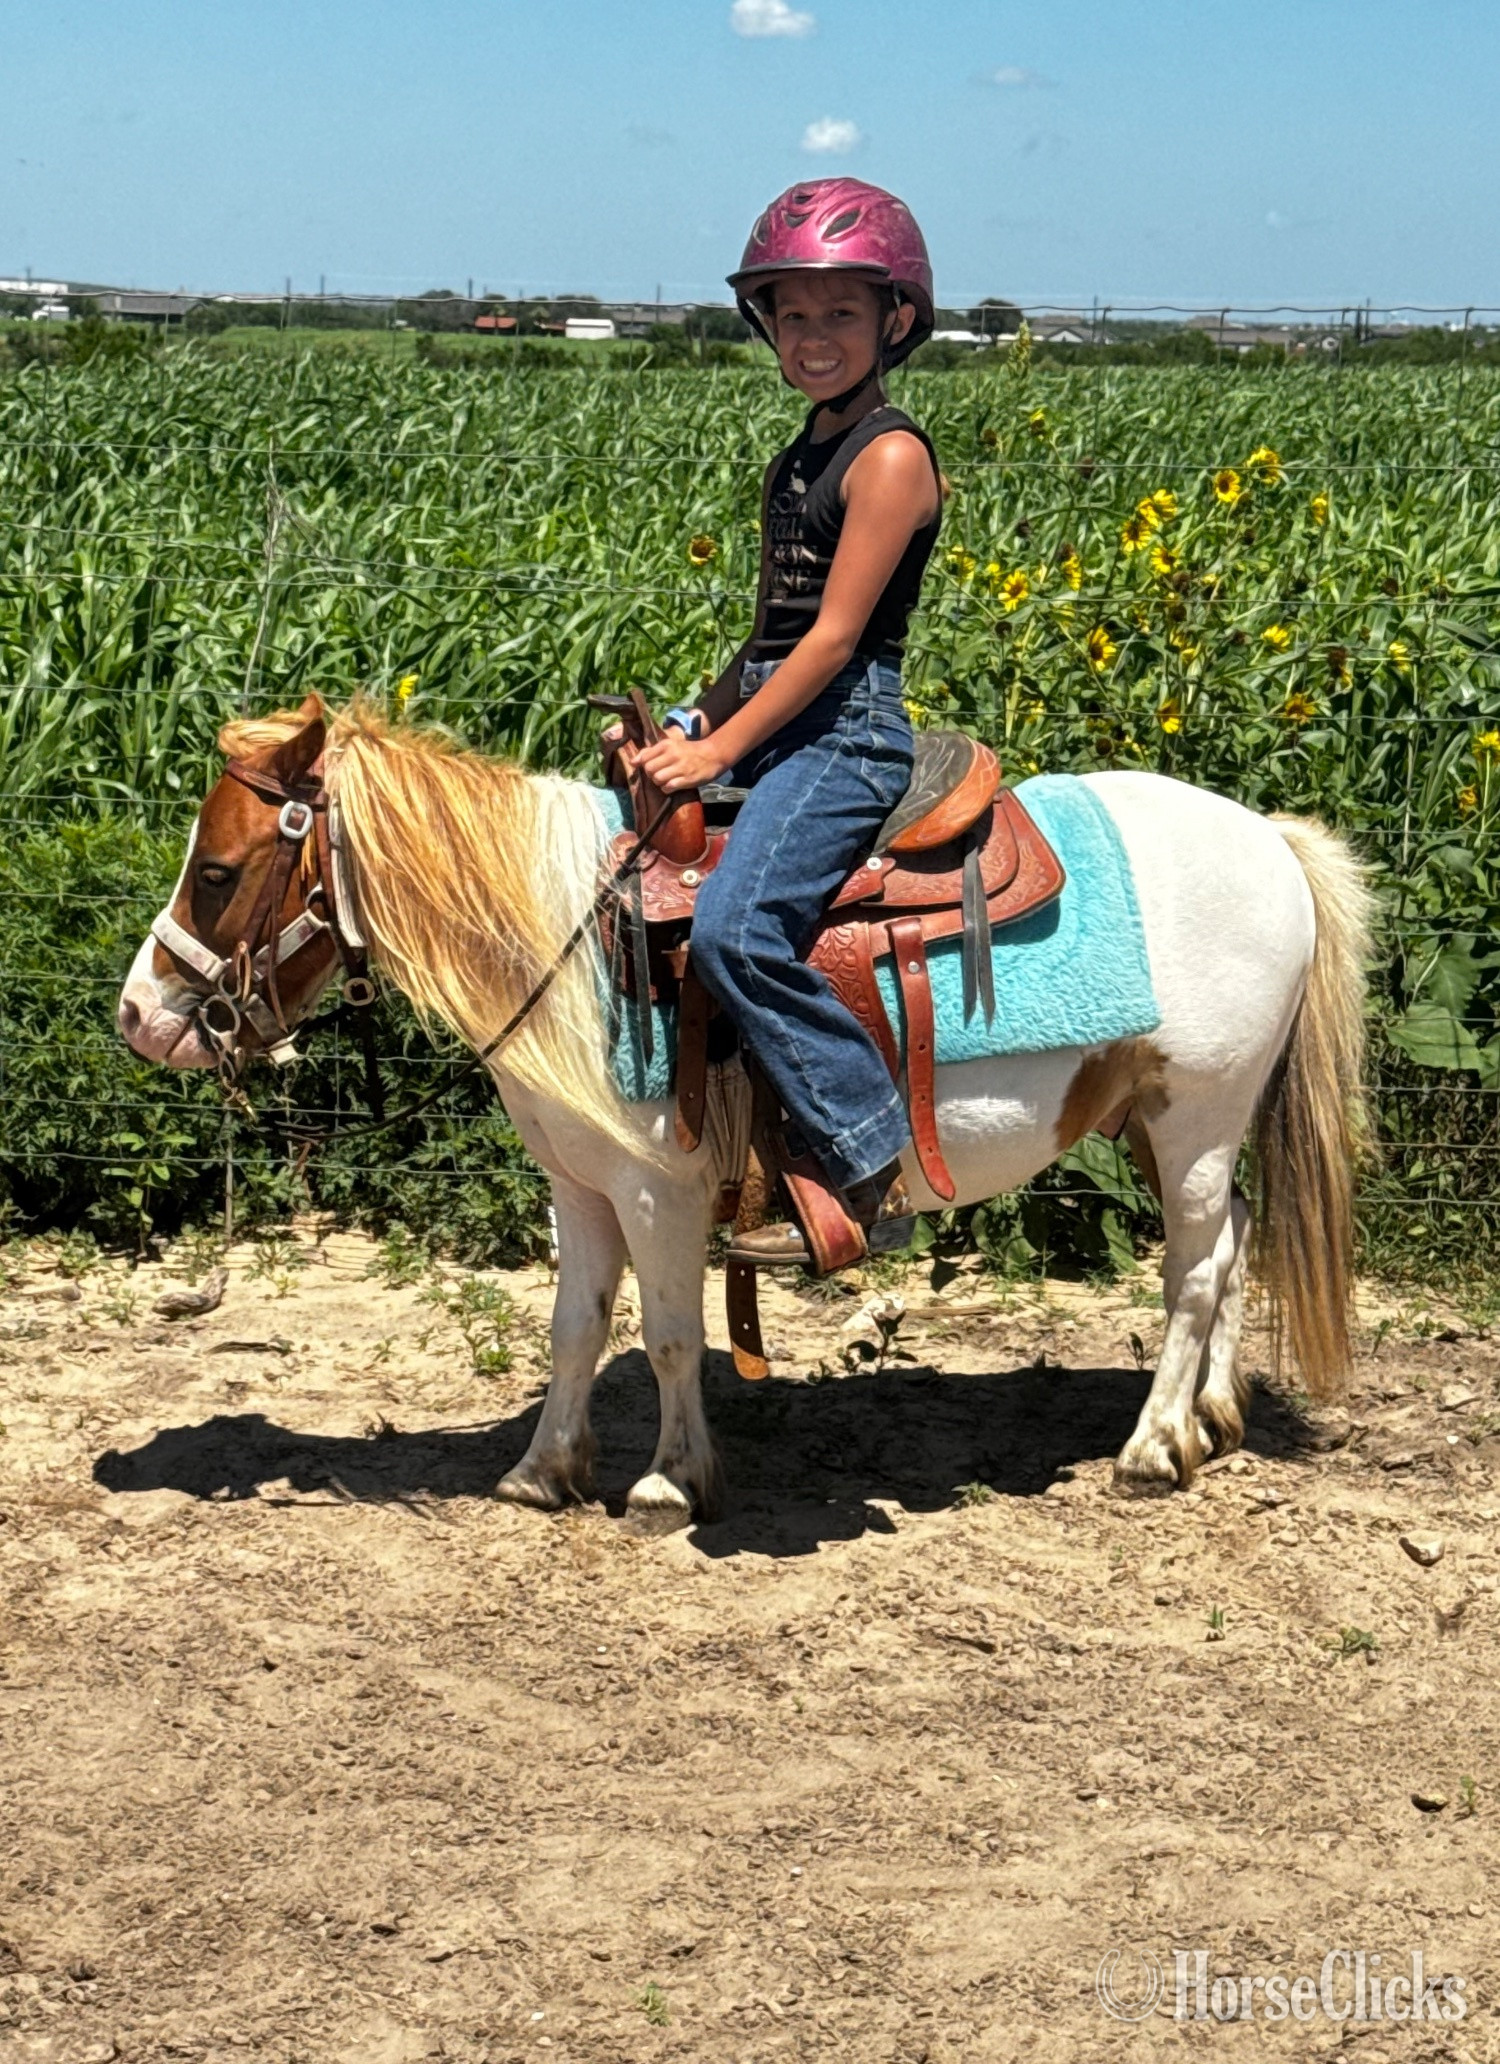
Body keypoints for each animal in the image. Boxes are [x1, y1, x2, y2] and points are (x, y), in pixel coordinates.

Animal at [117, 693, 1372, 1523]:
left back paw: (1154, 1448)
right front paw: (541, 1470)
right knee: (1235, 1243)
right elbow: (575, 1327)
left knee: (1195, 1272)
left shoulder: (655, 1186)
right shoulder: (578, 1186)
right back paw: (1213, 1420)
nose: (138, 1015)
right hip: (1156, 1122)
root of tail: (1272, 839)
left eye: (218, 872)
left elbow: (673, 1334)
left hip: (1197, 1114)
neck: (577, 939)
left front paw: (671, 1481)